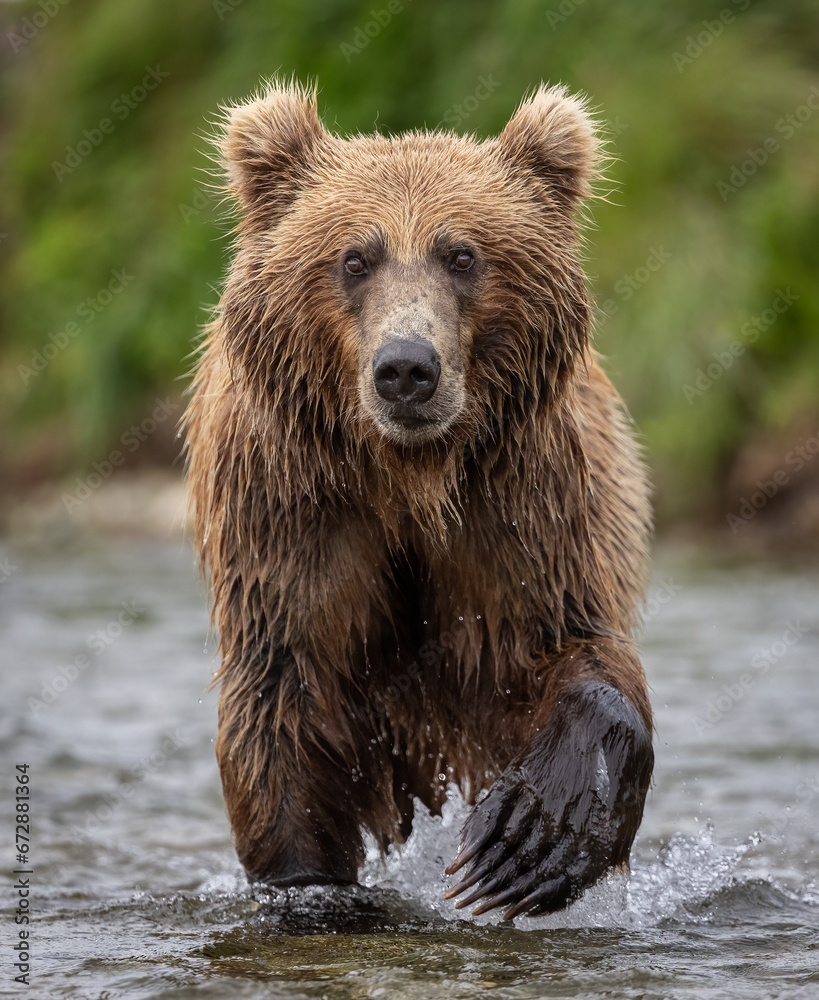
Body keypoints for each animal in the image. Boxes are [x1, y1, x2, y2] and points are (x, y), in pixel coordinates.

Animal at [184, 80, 653, 920]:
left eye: (460, 254)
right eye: (355, 258)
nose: (406, 368)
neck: (407, 477)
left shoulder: (524, 500)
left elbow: (571, 645)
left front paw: (530, 837)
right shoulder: (292, 511)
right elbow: (285, 705)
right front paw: (310, 887)